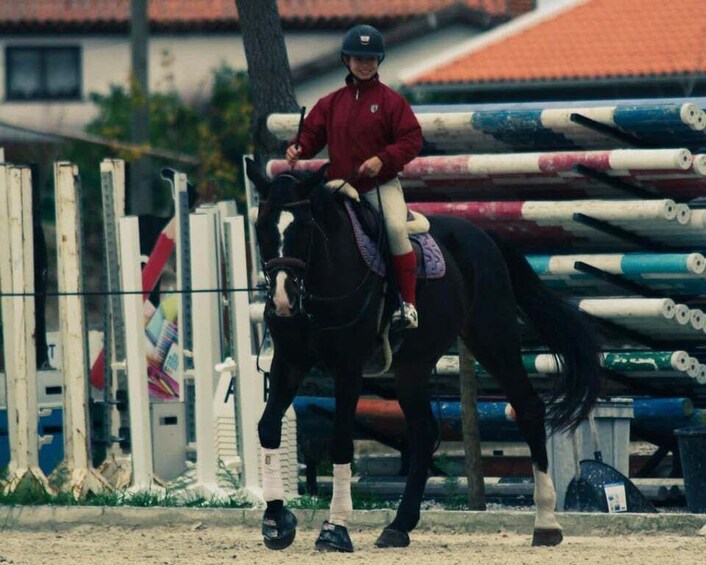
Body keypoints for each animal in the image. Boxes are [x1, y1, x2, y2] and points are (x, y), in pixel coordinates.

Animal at [245, 159, 604, 552]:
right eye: (262, 227)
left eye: (306, 227)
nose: (282, 299)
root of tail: (482, 236)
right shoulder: (289, 361)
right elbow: (267, 427)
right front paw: (276, 521)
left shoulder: (348, 367)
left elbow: (340, 443)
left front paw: (334, 529)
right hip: (413, 367)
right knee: (423, 432)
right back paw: (399, 526)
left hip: (493, 339)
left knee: (528, 408)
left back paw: (546, 523)